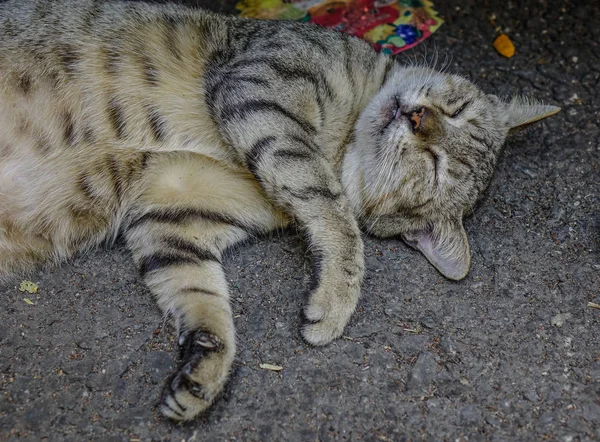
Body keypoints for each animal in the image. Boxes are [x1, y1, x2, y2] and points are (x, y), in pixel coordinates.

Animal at [0, 0, 556, 422]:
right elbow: (335, 214)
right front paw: (337, 301)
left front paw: (205, 370)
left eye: (436, 167)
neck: (340, 140)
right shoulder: (260, 87)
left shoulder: (170, 212)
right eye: (456, 111)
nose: (416, 117)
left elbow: (203, 298)